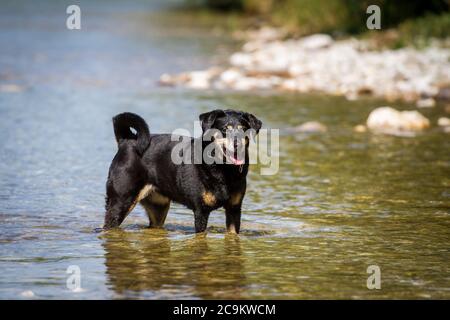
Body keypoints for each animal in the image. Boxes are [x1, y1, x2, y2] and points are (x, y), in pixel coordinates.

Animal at [103, 109, 262, 232]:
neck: (224, 170)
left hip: (158, 207)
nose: (237, 143)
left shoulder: (234, 209)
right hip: (120, 201)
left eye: (243, 129)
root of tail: (127, 141)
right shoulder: (201, 211)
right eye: (224, 130)